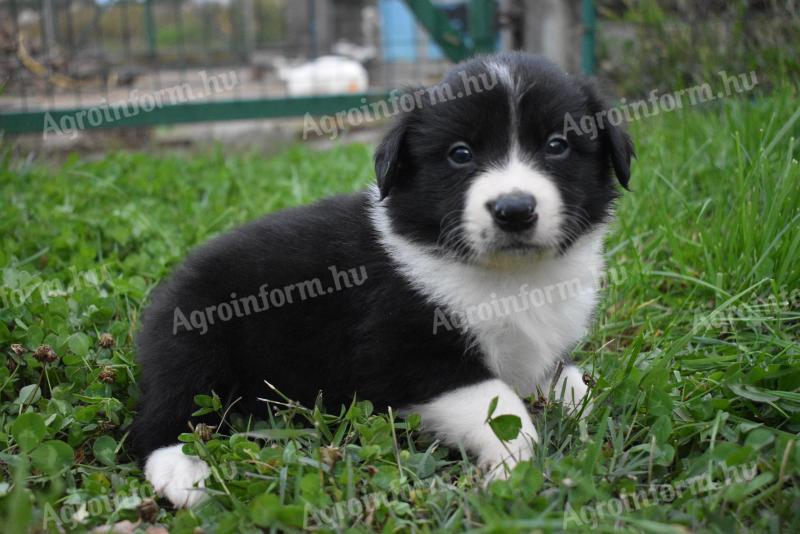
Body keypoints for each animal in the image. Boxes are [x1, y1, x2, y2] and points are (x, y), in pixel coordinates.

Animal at [131, 52, 636, 508]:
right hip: (194, 337)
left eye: (557, 145)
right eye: (460, 154)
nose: (514, 210)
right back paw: (181, 470)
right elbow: (501, 405)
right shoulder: (406, 356)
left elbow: (573, 382)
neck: (510, 276)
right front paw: (511, 469)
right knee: (164, 410)